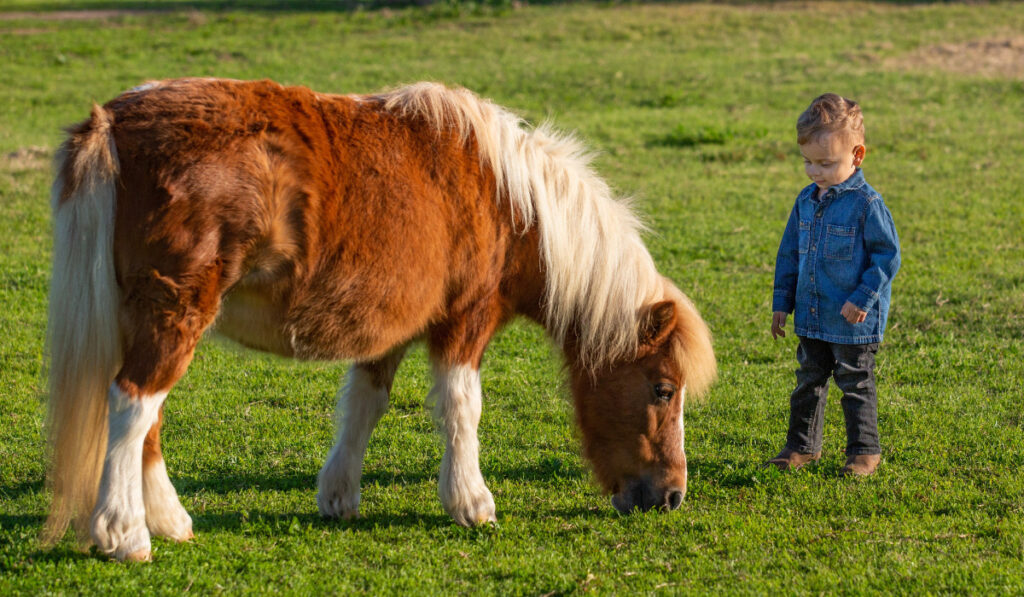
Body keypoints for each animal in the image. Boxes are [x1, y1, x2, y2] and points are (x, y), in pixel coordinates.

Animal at [44, 78, 716, 561]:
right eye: (663, 389)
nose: (671, 496)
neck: (510, 201)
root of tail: (114, 122)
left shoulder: (387, 331)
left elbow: (365, 405)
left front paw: (339, 495)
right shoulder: (464, 323)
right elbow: (462, 408)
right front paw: (471, 502)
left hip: (146, 319)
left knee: (144, 416)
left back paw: (170, 521)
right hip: (174, 314)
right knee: (132, 405)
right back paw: (125, 534)